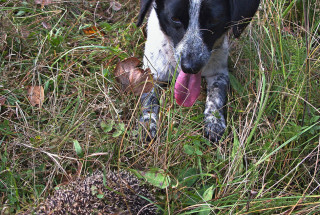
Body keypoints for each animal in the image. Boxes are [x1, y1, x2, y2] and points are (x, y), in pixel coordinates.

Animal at [137, 0, 260, 142]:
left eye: (213, 20)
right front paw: (148, 123)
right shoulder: (151, 73)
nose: (190, 67)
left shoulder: (219, 73)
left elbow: (216, 95)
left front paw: (214, 121)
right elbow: (149, 100)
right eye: (174, 19)